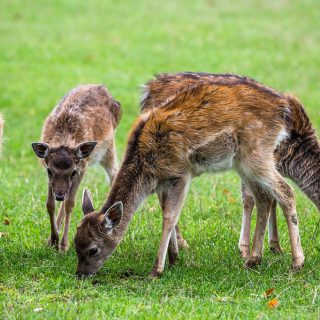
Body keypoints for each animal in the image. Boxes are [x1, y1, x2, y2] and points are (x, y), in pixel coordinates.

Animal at [31, 85, 121, 252]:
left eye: (73, 171)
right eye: (49, 171)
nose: (59, 195)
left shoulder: (82, 167)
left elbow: (70, 204)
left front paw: (64, 245)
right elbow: (50, 204)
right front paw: (52, 240)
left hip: (109, 148)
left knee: (114, 173)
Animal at [74, 72, 304, 278]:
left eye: (93, 249)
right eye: (76, 243)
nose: (80, 274)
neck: (147, 171)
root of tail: (284, 108)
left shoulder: (180, 173)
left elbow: (169, 216)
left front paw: (156, 270)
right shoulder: (164, 182)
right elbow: (167, 211)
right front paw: (174, 257)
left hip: (256, 154)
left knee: (286, 191)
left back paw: (296, 262)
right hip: (244, 162)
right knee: (263, 197)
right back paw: (253, 259)